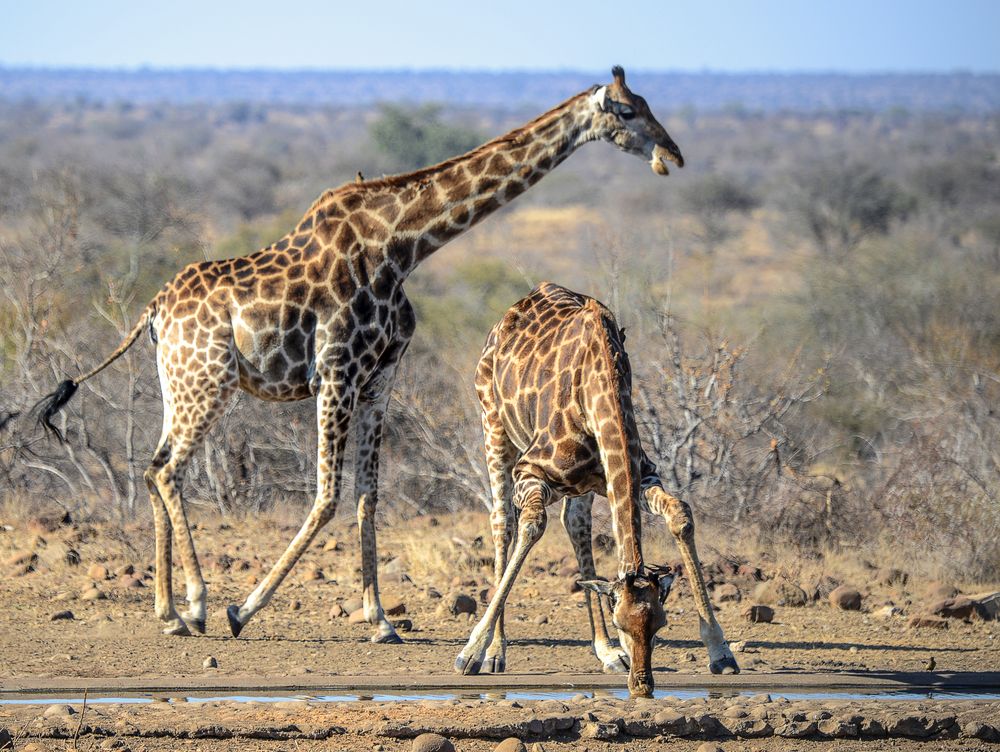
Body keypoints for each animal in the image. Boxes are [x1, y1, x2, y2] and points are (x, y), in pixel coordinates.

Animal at [35, 64, 684, 644]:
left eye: (649, 102)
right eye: (627, 111)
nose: (673, 154)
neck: (404, 245)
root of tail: (152, 311)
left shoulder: (379, 375)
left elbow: (368, 495)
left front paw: (381, 621)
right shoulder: (337, 370)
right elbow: (326, 496)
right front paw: (242, 610)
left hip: (180, 381)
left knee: (151, 466)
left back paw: (168, 613)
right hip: (207, 383)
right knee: (168, 469)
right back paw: (196, 604)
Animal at [458, 284, 740, 696]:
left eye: (660, 626)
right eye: (622, 622)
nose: (642, 686)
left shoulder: (641, 475)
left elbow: (680, 514)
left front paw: (720, 651)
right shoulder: (531, 471)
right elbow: (531, 526)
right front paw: (472, 651)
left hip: (582, 486)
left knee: (576, 524)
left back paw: (606, 652)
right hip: (493, 425)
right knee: (502, 521)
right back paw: (494, 651)